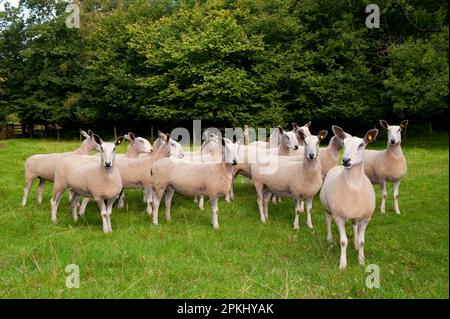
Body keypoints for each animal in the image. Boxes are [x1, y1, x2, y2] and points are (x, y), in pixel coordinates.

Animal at [320, 127, 380, 270]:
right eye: (343, 144)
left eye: (361, 145)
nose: (346, 160)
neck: (353, 185)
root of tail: (337, 166)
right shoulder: (338, 216)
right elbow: (343, 241)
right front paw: (343, 264)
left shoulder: (366, 218)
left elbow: (363, 241)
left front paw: (362, 261)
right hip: (328, 209)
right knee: (328, 221)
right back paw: (329, 239)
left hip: (356, 215)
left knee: (354, 225)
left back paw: (355, 244)